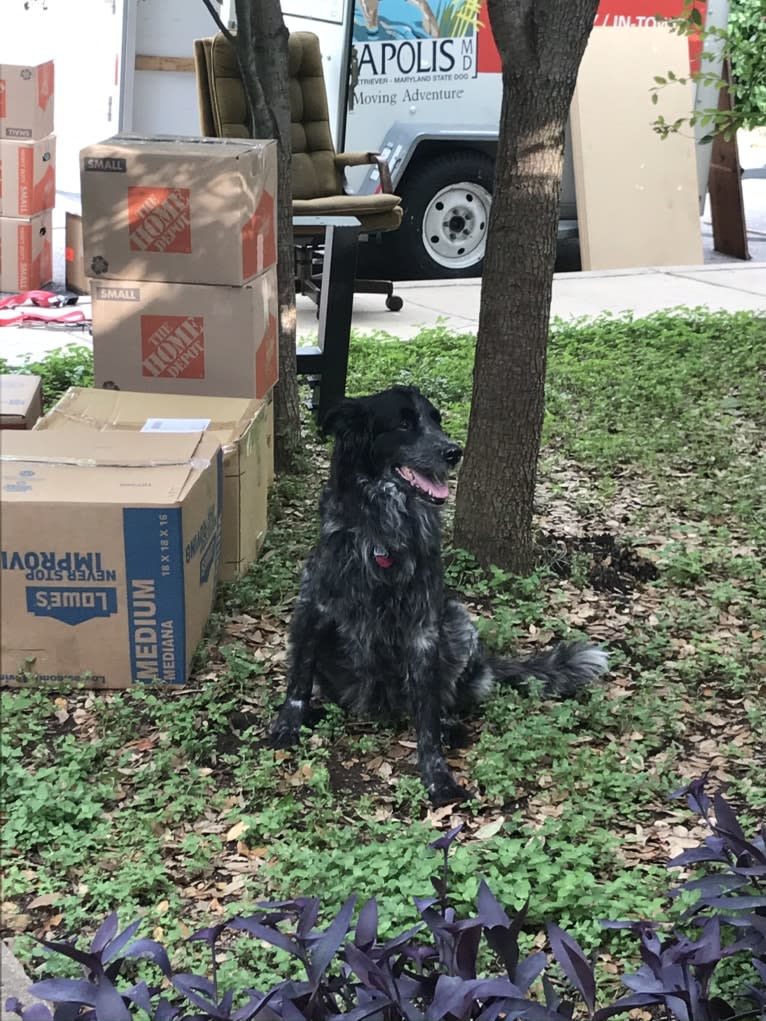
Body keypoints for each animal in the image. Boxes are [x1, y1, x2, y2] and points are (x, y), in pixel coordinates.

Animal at [273, 383, 608, 804]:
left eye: (437, 420)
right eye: (403, 423)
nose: (453, 451)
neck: (384, 532)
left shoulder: (423, 628)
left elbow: (428, 716)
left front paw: (437, 775)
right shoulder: (313, 604)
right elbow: (299, 678)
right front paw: (289, 723)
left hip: (457, 622)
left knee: (445, 695)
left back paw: (450, 723)